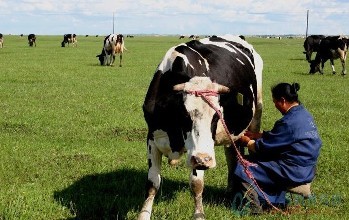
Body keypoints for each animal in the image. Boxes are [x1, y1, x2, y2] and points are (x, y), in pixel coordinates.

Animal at [137, 35, 262, 219]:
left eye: (217, 116)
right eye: (184, 115)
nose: (203, 160)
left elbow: (196, 184)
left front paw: (199, 214)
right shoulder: (152, 138)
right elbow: (152, 183)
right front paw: (144, 214)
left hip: (256, 112)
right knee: (232, 155)